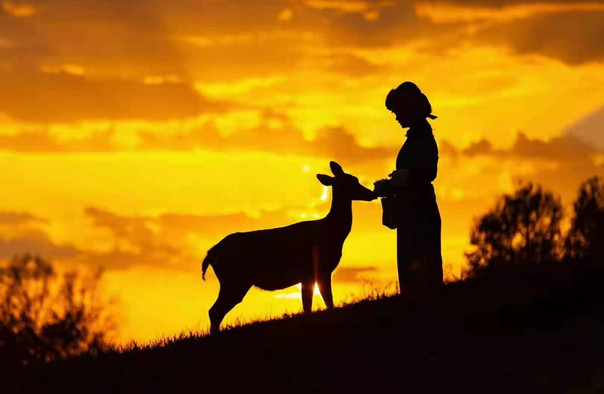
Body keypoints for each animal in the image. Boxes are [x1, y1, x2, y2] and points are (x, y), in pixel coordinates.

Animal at [201, 162, 376, 334]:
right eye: (351, 181)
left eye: (355, 178)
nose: (371, 193)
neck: (332, 233)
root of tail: (211, 254)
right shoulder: (320, 269)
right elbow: (326, 301)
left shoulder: (309, 275)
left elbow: (309, 306)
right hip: (234, 280)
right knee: (214, 311)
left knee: (215, 311)